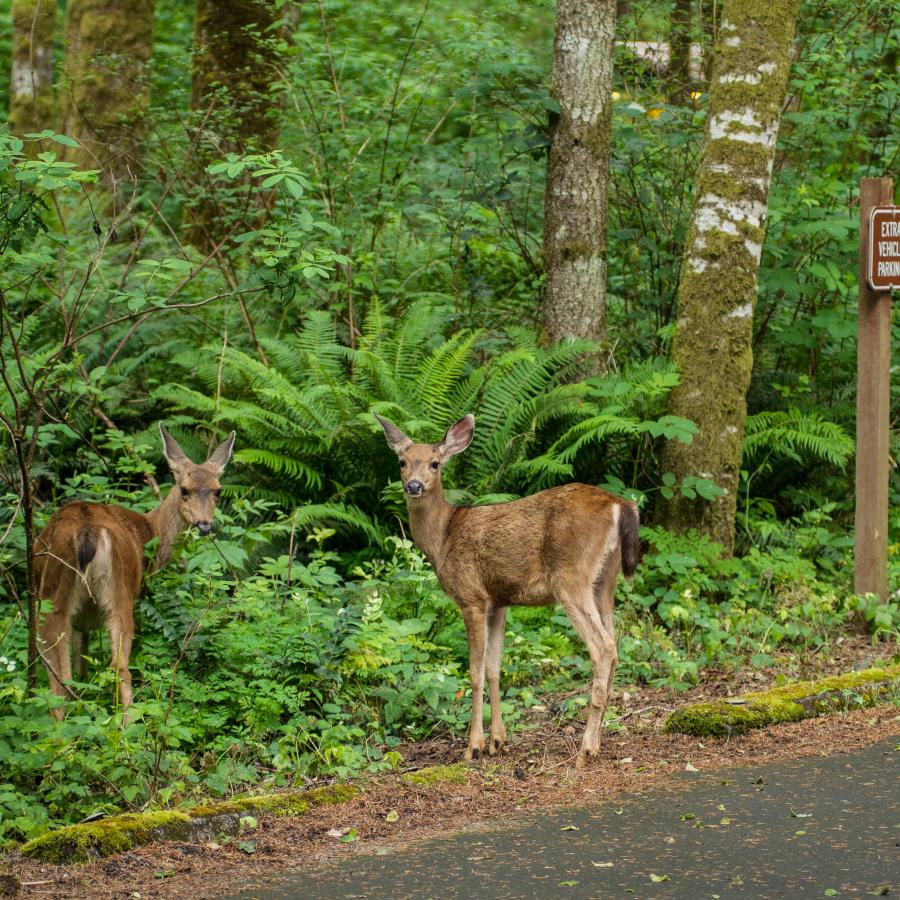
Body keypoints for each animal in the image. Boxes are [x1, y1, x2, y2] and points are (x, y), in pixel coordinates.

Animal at [35, 426, 236, 720]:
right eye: (184, 489)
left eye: (217, 491)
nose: (204, 525)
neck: (149, 531)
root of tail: (86, 532)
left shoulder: (82, 623)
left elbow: (81, 660)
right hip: (118, 591)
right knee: (118, 665)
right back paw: (129, 723)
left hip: (53, 595)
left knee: (60, 677)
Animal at [374, 412, 640, 768]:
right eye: (402, 462)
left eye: (435, 463)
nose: (413, 485)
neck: (443, 537)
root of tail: (620, 505)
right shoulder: (499, 601)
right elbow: (494, 668)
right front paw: (498, 741)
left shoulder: (471, 596)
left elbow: (474, 672)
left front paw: (473, 746)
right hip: (605, 580)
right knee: (615, 644)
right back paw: (596, 743)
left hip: (571, 576)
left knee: (603, 648)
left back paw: (585, 749)